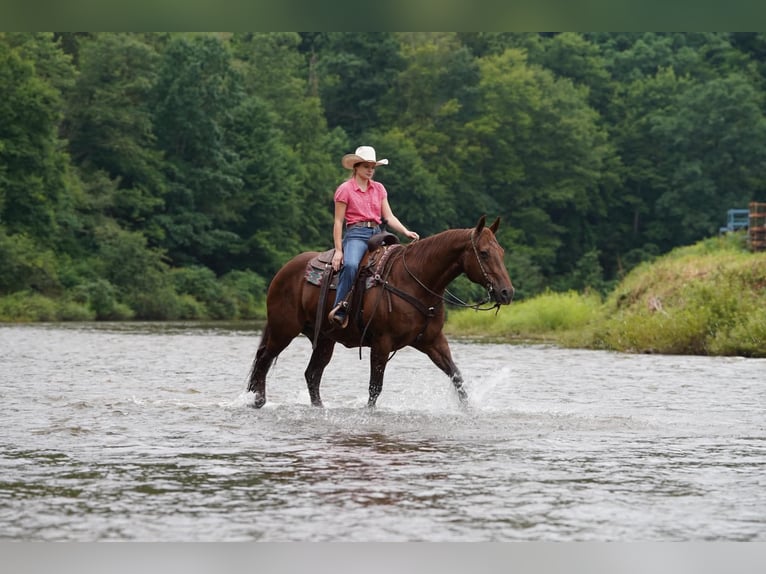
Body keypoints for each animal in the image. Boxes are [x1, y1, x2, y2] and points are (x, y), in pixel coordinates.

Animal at [247, 215, 514, 408]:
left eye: (501, 252)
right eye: (483, 253)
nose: (506, 292)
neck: (414, 282)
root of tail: (283, 270)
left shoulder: (433, 342)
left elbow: (457, 378)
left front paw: (469, 410)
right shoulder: (382, 343)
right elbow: (375, 388)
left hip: (324, 339)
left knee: (312, 374)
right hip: (284, 330)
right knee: (263, 360)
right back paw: (257, 402)